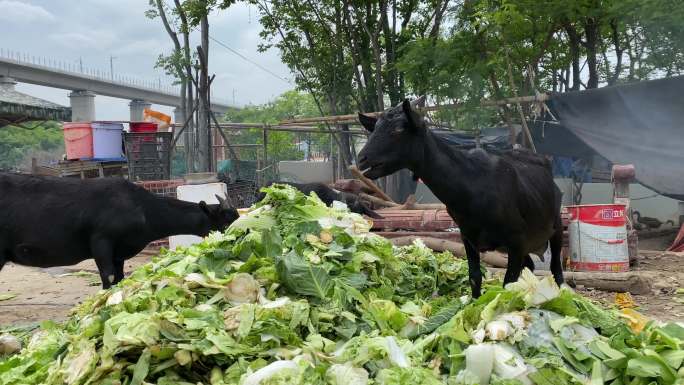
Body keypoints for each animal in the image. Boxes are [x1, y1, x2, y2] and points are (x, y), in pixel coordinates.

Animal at [0, 172, 240, 286]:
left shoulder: (120, 252)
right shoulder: (101, 242)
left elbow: (120, 276)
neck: (141, 208)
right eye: (225, 223)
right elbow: (109, 276)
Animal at [356, 97, 564, 296]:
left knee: (556, 269)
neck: (472, 184)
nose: (361, 159)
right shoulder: (468, 237)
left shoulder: (516, 240)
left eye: (399, 129)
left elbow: (508, 285)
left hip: (555, 226)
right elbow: (475, 277)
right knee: (530, 265)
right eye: (375, 128)